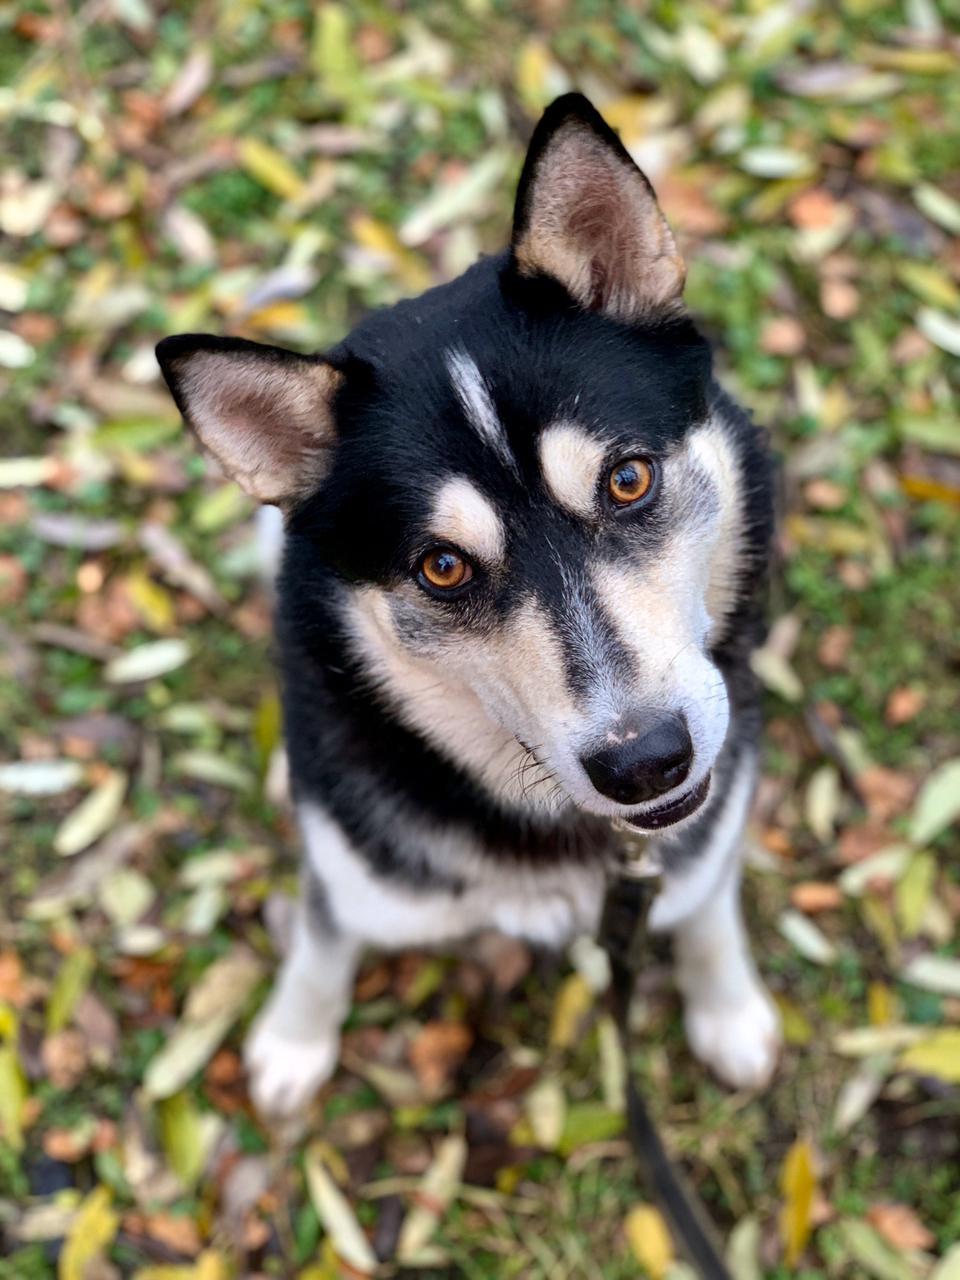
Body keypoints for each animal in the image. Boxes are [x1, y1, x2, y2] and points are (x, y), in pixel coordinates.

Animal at [156, 92, 783, 1121]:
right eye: (443, 567)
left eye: (628, 478)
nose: (645, 764)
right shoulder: (352, 875)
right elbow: (322, 941)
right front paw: (294, 1038)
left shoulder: (705, 832)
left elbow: (710, 909)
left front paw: (728, 1008)